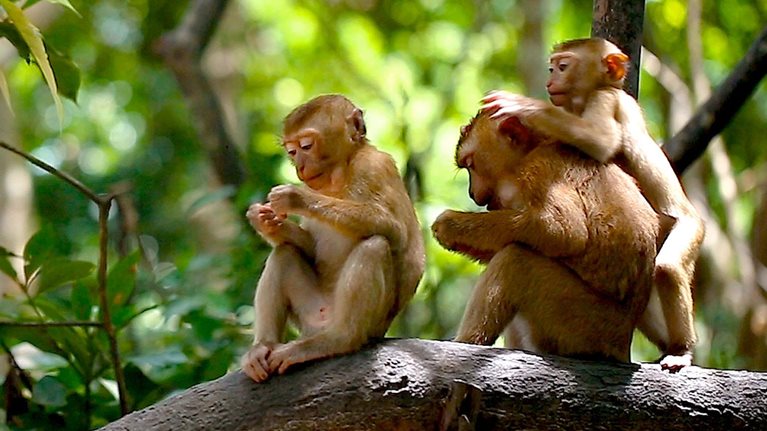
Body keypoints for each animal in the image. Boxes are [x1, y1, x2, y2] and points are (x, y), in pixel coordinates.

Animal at [240, 94, 425, 382]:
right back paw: (263, 347)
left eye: (306, 145)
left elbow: (393, 229)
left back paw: (340, 339)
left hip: (370, 323)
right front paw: (266, 223)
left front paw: (295, 198)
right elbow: (308, 248)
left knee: (375, 245)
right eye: (291, 151)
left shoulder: (375, 166)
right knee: (284, 253)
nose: (299, 166)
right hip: (309, 314)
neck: (337, 177)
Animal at [431, 110, 660, 362]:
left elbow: (564, 231)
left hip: (584, 324)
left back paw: (467, 342)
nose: (472, 193)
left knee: (515, 260)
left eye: (471, 165)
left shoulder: (541, 170)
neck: (534, 148)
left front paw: (449, 225)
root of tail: (622, 345)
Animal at [481, 37, 705, 371]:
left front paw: (523, 106)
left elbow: (601, 140)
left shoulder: (605, 100)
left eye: (563, 66)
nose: (550, 79)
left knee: (666, 268)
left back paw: (681, 350)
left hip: (688, 230)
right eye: (552, 67)